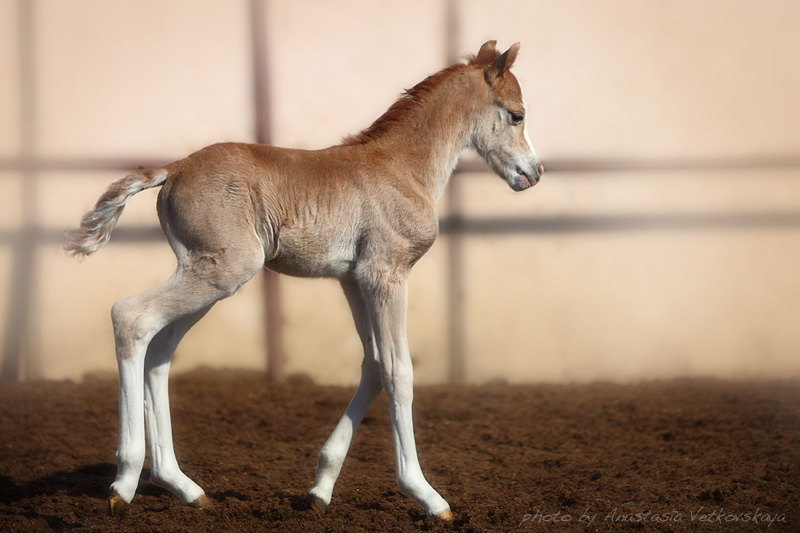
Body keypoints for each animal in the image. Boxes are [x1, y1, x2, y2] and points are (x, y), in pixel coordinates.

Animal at [65, 41, 544, 520]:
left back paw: (182, 486)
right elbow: (398, 370)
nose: (534, 173)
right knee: (130, 317)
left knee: (161, 349)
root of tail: (175, 168)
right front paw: (426, 494)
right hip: (225, 268)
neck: (403, 168)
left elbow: (373, 363)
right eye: (516, 114)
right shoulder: (386, 272)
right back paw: (125, 480)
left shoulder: (353, 279)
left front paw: (320, 488)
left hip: (204, 270)